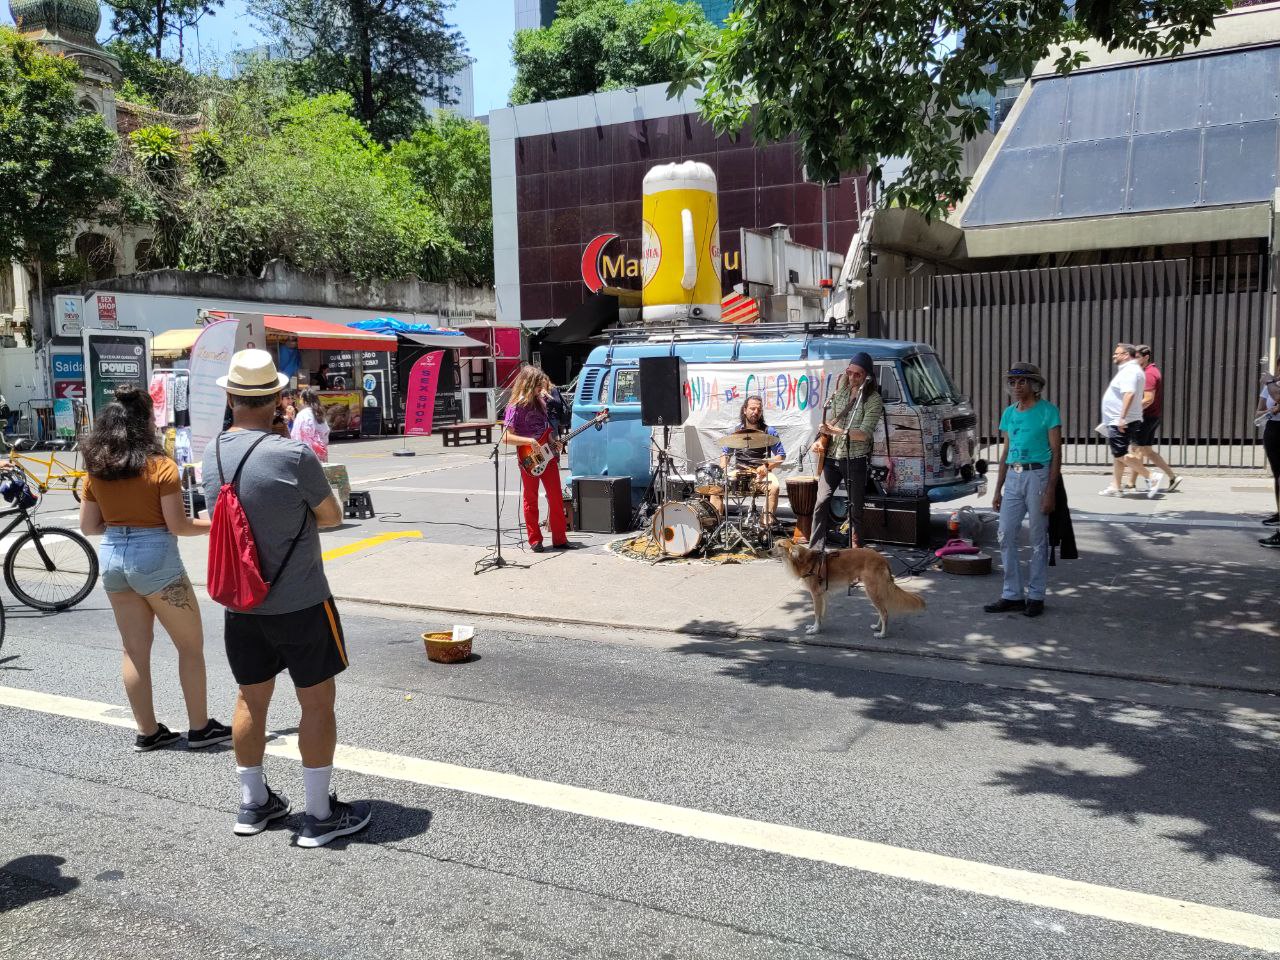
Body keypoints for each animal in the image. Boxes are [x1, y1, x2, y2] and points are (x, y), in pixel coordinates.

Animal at [773, 542, 926, 640]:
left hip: (872, 590)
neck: (804, 560)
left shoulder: (815, 594)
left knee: (884, 613)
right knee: (882, 612)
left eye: (779, 545)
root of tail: (883, 559)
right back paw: (878, 628)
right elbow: (821, 614)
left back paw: (882, 634)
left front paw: (815, 630)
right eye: (774, 544)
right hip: (874, 591)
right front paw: (818, 627)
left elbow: (816, 614)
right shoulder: (823, 595)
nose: (768, 551)